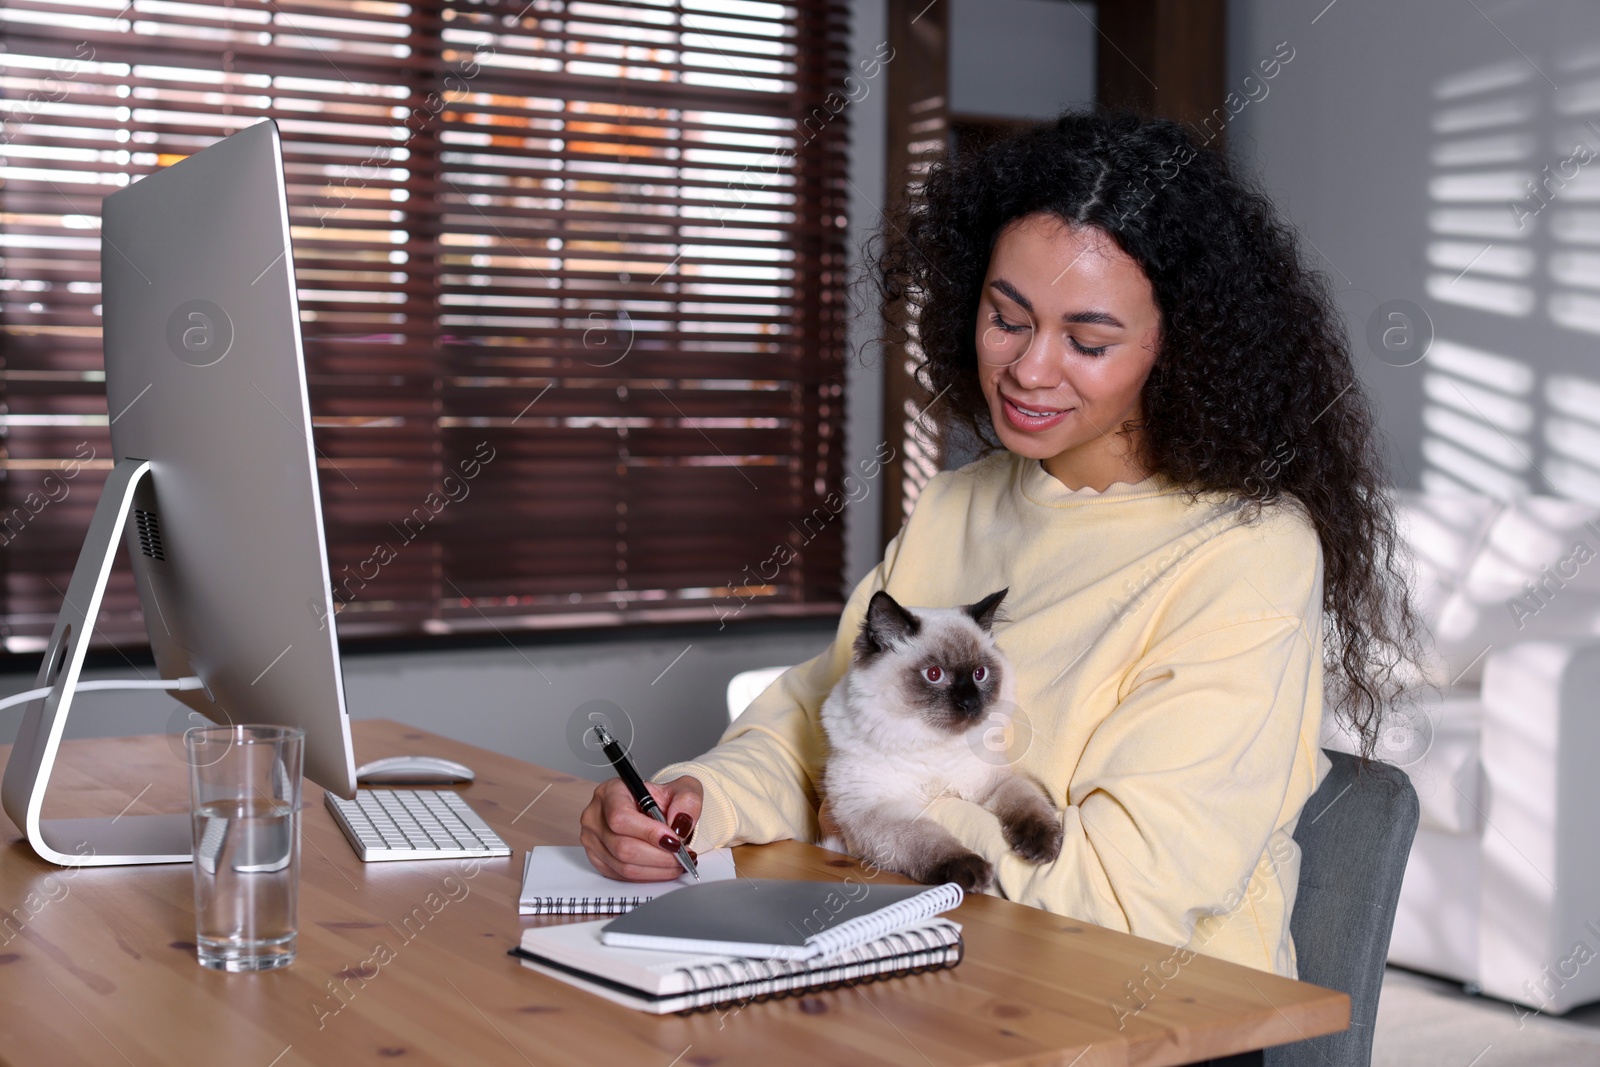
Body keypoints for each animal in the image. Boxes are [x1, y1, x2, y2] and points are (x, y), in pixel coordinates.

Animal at [825, 588, 1062, 895]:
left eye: (980, 674)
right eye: (934, 674)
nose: (970, 703)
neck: (934, 745)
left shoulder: (993, 782)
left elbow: (1027, 803)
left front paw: (1041, 846)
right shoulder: (877, 809)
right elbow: (928, 839)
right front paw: (971, 872)